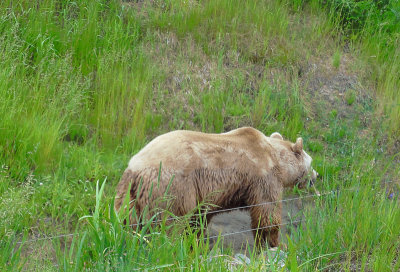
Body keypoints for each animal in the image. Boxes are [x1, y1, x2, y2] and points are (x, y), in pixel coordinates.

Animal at [114, 126, 318, 248]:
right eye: (311, 162)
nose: (316, 176)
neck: (276, 159)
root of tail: (137, 169)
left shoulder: (206, 195)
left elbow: (199, 220)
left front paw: (196, 243)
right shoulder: (262, 177)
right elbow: (267, 213)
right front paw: (274, 243)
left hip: (129, 196)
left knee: (128, 223)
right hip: (171, 188)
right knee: (170, 223)